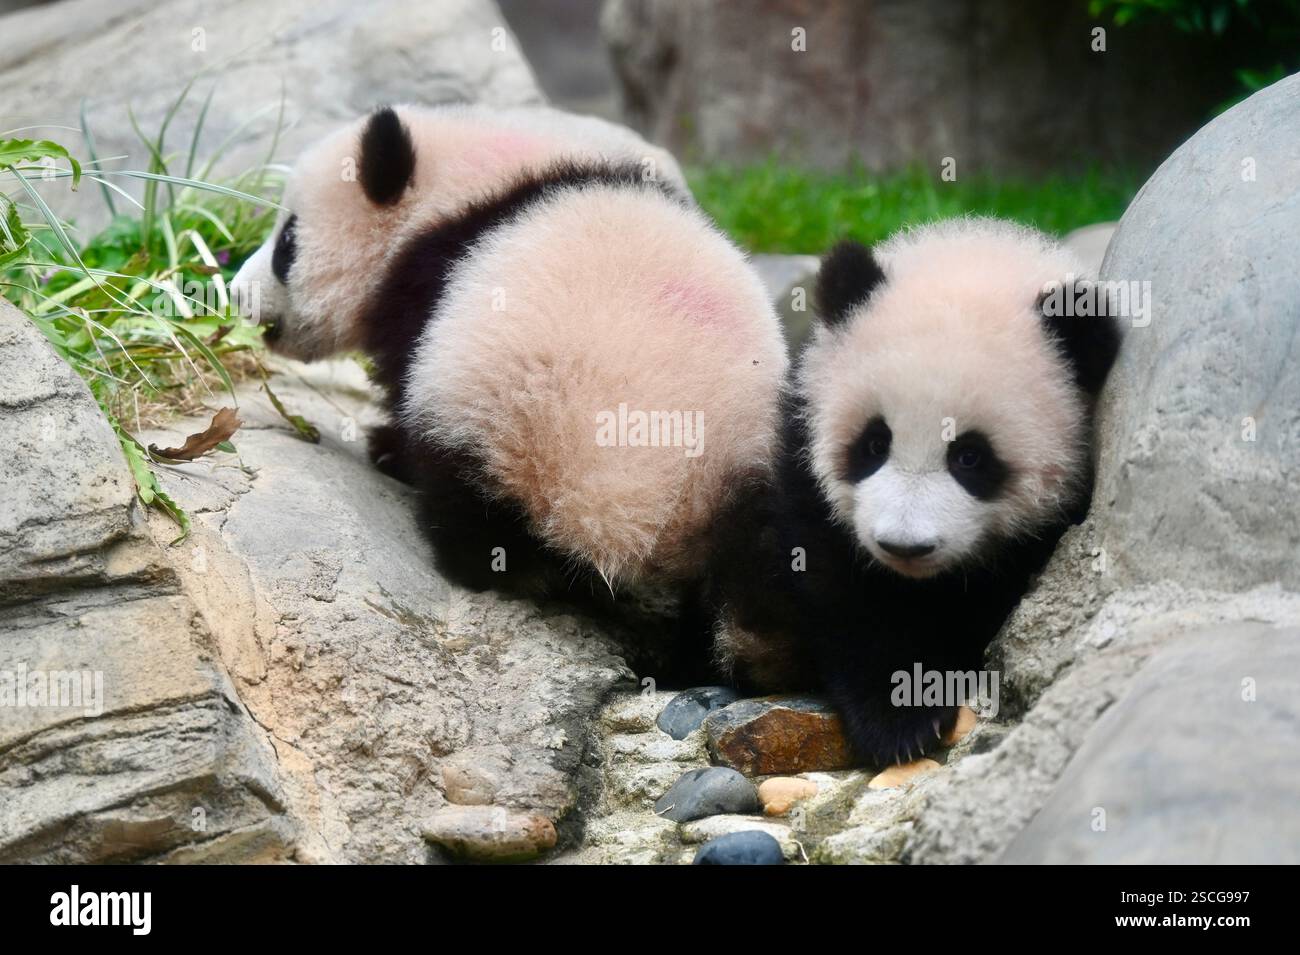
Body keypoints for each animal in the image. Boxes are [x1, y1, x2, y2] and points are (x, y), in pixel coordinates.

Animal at [231, 105, 788, 605]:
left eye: (286, 243)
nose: (238, 296)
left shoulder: (428, 281)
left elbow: (402, 368)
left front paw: (387, 441)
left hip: (515, 419)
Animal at [707, 217, 1121, 766]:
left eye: (970, 457)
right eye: (874, 442)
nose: (904, 546)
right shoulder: (802, 461)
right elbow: (839, 586)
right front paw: (899, 716)